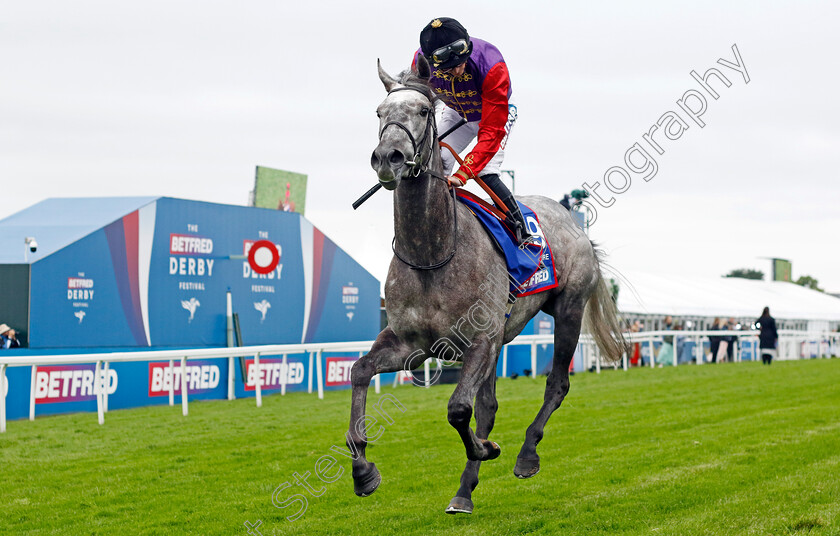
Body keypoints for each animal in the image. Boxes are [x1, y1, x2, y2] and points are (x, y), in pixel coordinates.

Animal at [348, 57, 624, 516]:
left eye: (423, 111)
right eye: (378, 112)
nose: (389, 157)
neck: (433, 252)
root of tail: (572, 221)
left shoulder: (480, 338)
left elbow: (458, 409)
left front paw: (486, 448)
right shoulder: (411, 344)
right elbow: (360, 371)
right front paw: (363, 471)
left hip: (567, 310)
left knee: (556, 384)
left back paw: (526, 455)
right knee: (489, 404)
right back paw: (463, 492)